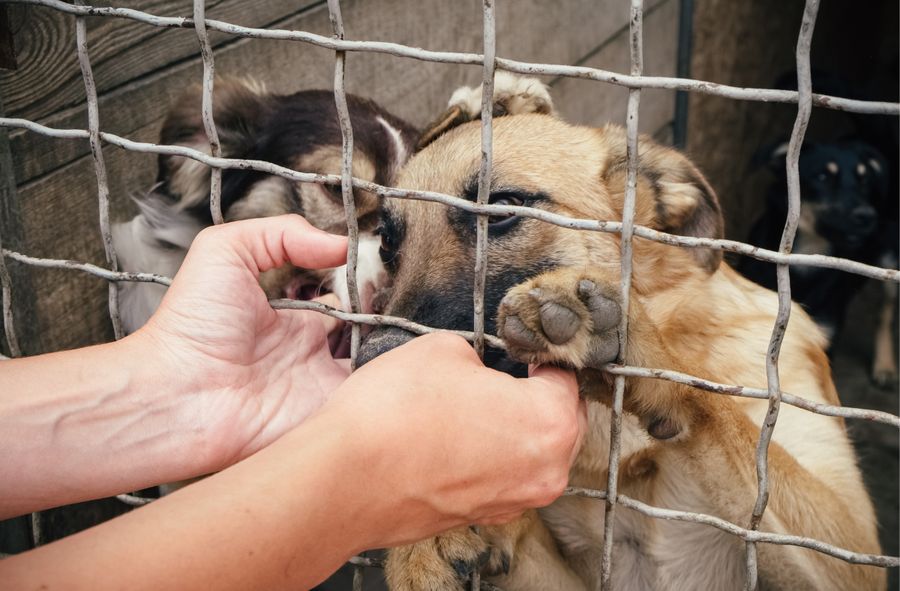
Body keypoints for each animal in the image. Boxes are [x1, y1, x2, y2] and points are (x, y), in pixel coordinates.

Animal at [356, 80, 880, 591]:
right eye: (387, 241)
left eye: (503, 206)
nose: (374, 364)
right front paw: (428, 528)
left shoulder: (851, 548)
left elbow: (716, 406)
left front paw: (629, 343)